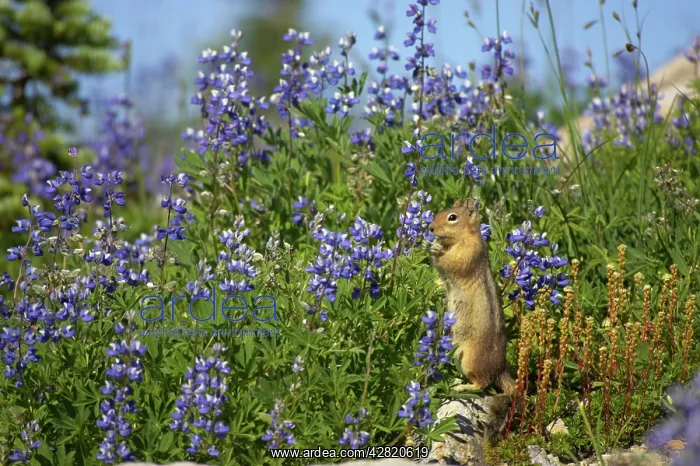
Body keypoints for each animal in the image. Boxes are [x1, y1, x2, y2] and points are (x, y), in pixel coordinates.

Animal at [429, 198, 516, 442]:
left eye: (452, 217)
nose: (430, 228)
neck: (463, 237)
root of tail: (501, 368)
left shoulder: (468, 253)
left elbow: (450, 261)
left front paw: (435, 249)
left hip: (471, 359)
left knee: (483, 383)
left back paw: (463, 388)